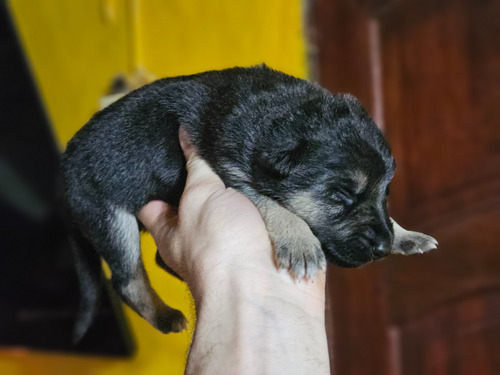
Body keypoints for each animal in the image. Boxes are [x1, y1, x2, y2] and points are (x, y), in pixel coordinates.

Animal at [61, 64, 438, 340]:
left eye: (385, 193)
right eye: (340, 196)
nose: (382, 248)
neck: (284, 117)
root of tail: (63, 177)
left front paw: (406, 235)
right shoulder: (232, 175)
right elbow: (275, 205)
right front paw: (300, 242)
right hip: (108, 215)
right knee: (127, 279)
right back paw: (166, 317)